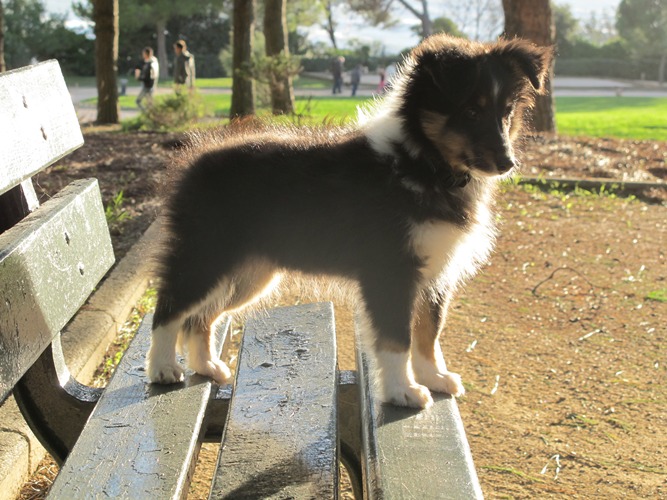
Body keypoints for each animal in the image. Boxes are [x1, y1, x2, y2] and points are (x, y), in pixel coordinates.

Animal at [147, 34, 551, 409]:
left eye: (507, 111)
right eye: (469, 112)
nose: (507, 163)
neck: (423, 163)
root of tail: (196, 158)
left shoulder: (435, 272)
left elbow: (428, 334)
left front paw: (433, 377)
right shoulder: (391, 271)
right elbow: (398, 338)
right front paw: (403, 391)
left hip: (249, 273)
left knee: (200, 318)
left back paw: (206, 366)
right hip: (206, 256)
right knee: (170, 309)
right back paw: (163, 368)